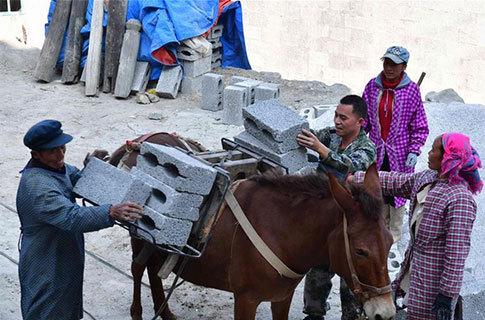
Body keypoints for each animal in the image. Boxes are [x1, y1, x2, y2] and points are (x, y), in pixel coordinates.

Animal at [109, 134, 394, 320]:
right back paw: (138, 312)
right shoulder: (245, 299)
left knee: (154, 269)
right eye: (360, 251)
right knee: (138, 268)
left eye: (390, 243)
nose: (386, 312)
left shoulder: (282, 297)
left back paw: (165, 312)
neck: (282, 232)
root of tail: (139, 144)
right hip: (140, 235)